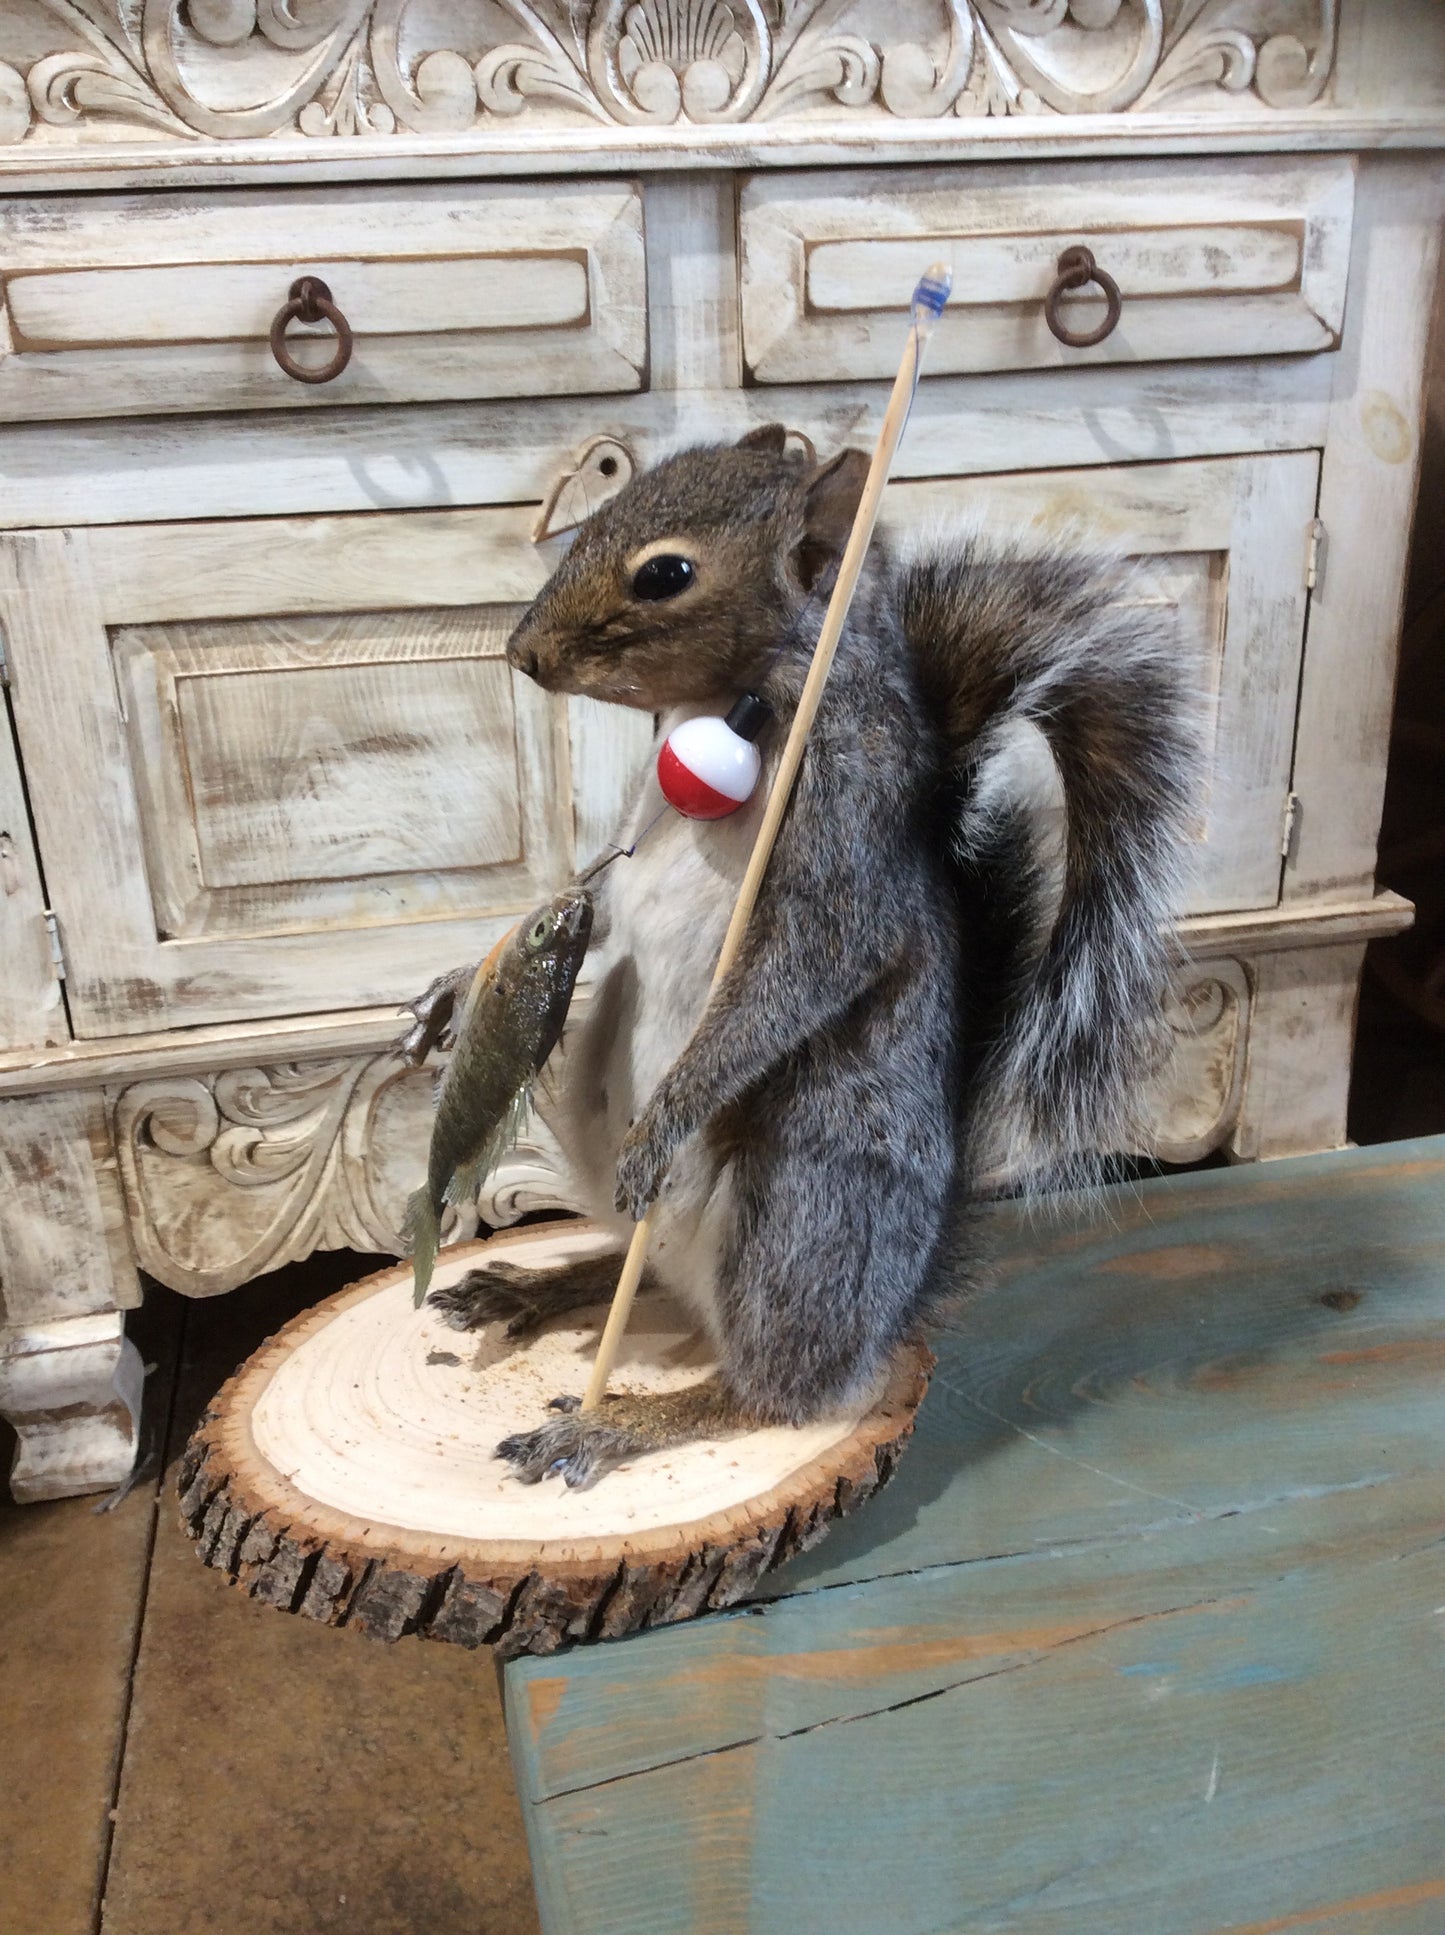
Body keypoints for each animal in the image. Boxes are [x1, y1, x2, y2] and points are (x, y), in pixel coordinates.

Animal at [402, 424, 1202, 1488]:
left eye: (666, 573)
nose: (521, 653)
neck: (739, 704)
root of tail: (895, 1300)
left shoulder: (842, 828)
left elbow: (801, 971)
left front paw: (668, 1117)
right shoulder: (627, 848)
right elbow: (600, 906)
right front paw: (452, 993)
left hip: (799, 1206)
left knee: (771, 1391)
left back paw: (616, 1421)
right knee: (634, 1269)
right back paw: (527, 1288)